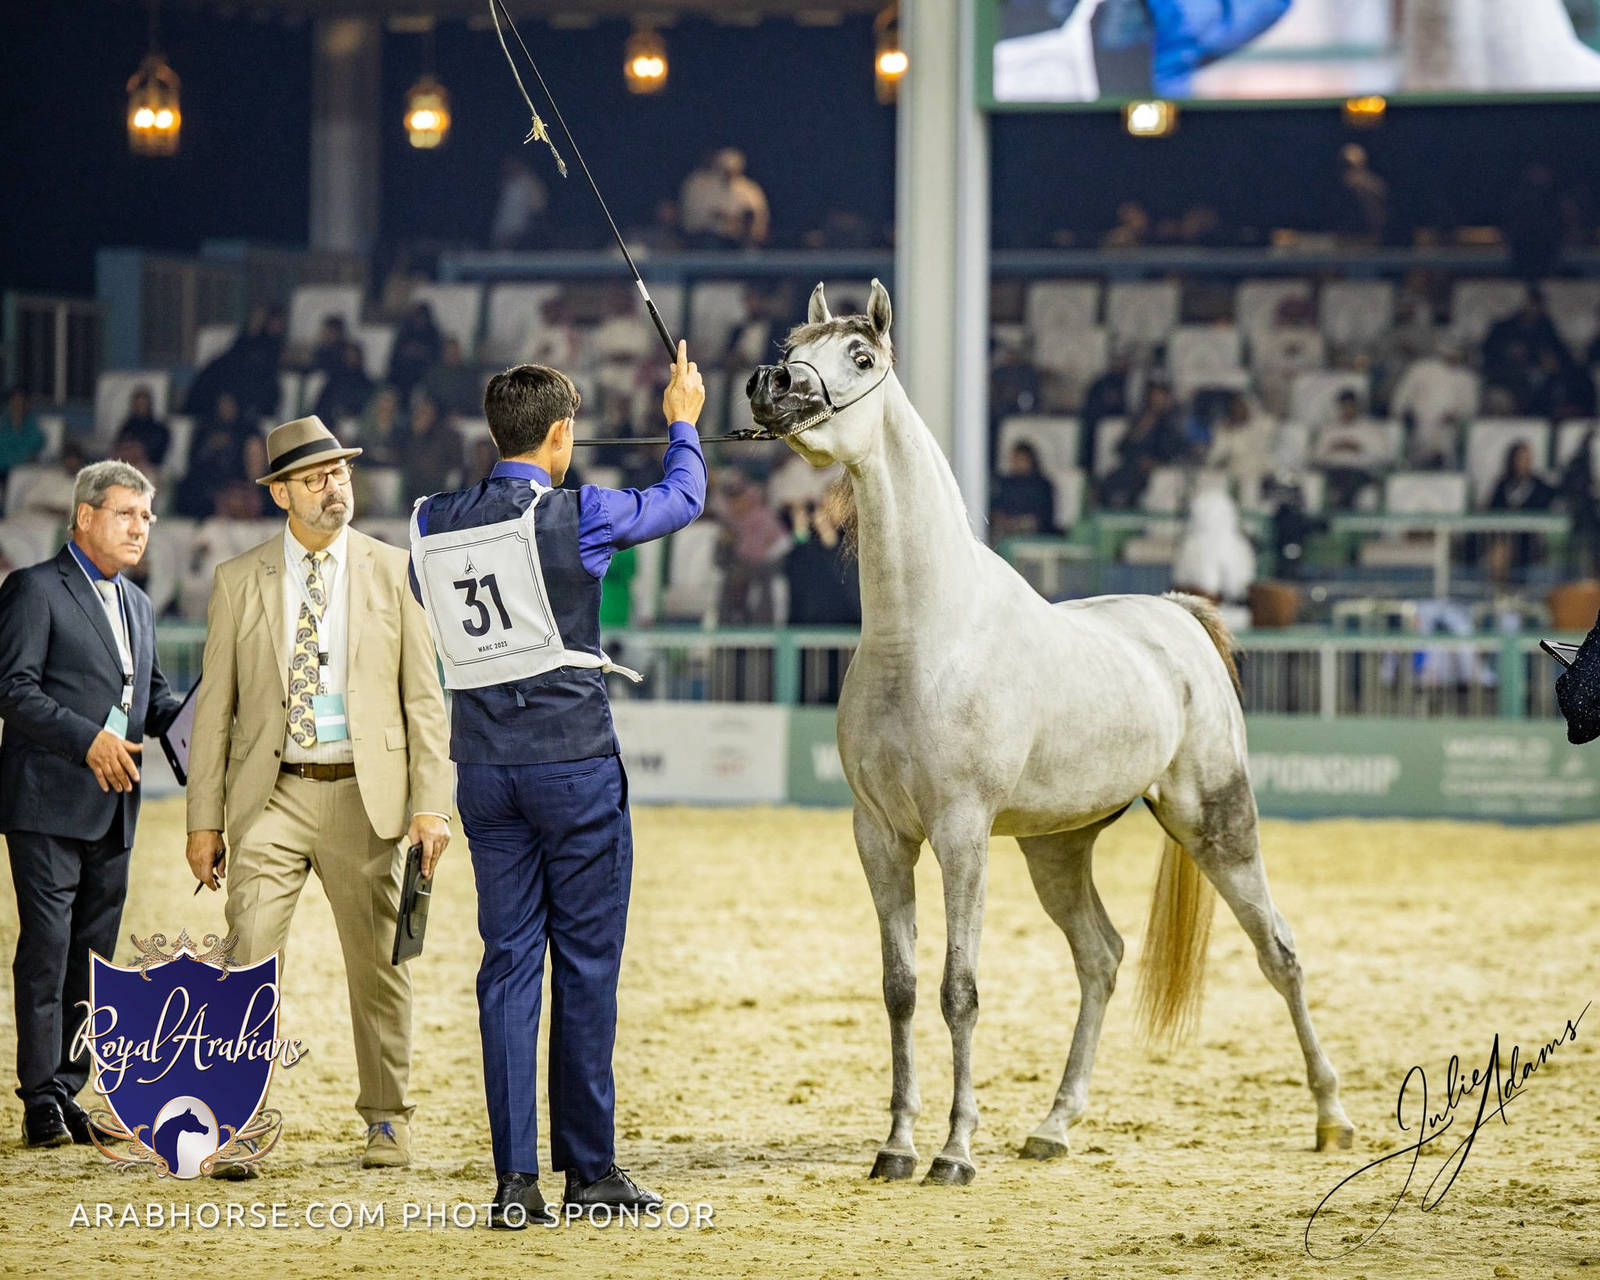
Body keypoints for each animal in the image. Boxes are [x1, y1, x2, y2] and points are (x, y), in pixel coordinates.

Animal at [746, 280, 1353, 1185]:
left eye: (860, 355)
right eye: (794, 344)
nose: (771, 383)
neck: (925, 634)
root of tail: (1177, 615)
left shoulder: (962, 834)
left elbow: (959, 989)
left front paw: (954, 1154)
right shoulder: (880, 836)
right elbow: (900, 988)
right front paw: (897, 1146)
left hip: (1218, 823)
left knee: (1278, 951)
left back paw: (1332, 1118)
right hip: (1057, 847)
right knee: (1101, 958)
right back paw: (1054, 1125)